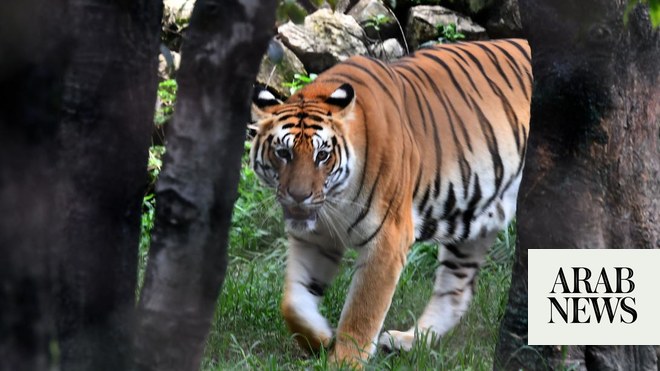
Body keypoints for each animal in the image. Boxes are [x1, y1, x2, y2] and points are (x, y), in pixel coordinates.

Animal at [250, 38, 532, 366]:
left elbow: (362, 311)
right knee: (455, 293)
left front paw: (344, 362)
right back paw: (407, 342)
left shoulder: (388, 238)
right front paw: (318, 337)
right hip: (472, 226)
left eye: (322, 155)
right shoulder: (314, 239)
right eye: (283, 153)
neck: (334, 202)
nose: (299, 195)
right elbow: (293, 301)